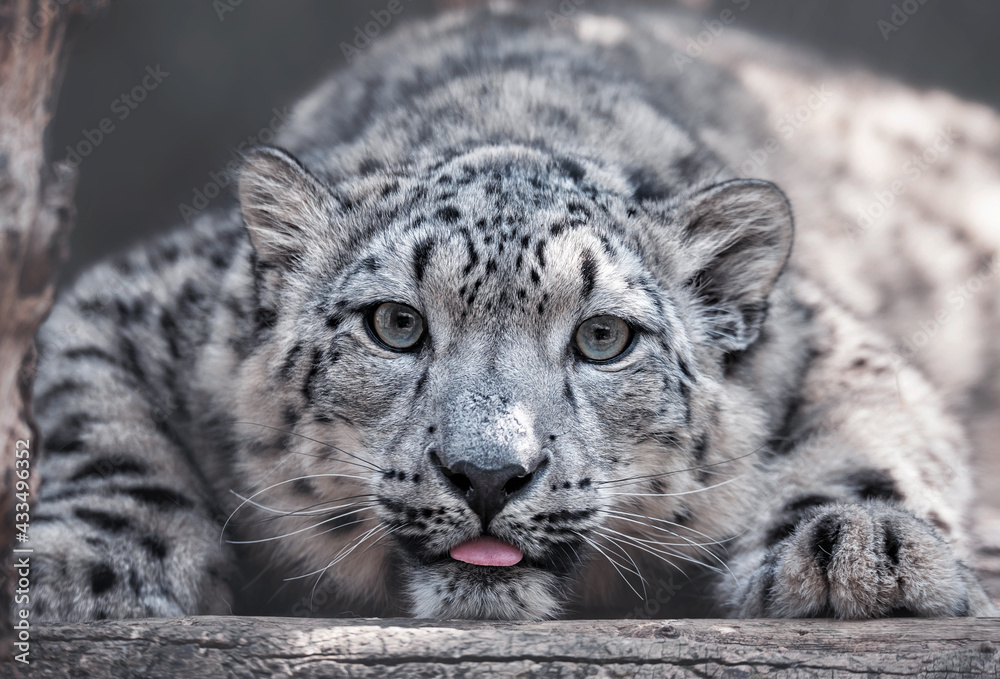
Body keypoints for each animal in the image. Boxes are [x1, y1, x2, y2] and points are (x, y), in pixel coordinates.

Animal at [23, 1, 1000, 623]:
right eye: (395, 325)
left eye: (603, 337)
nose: (488, 475)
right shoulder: (139, 298)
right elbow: (106, 433)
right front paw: (86, 568)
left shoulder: (830, 339)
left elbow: (875, 430)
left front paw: (860, 545)